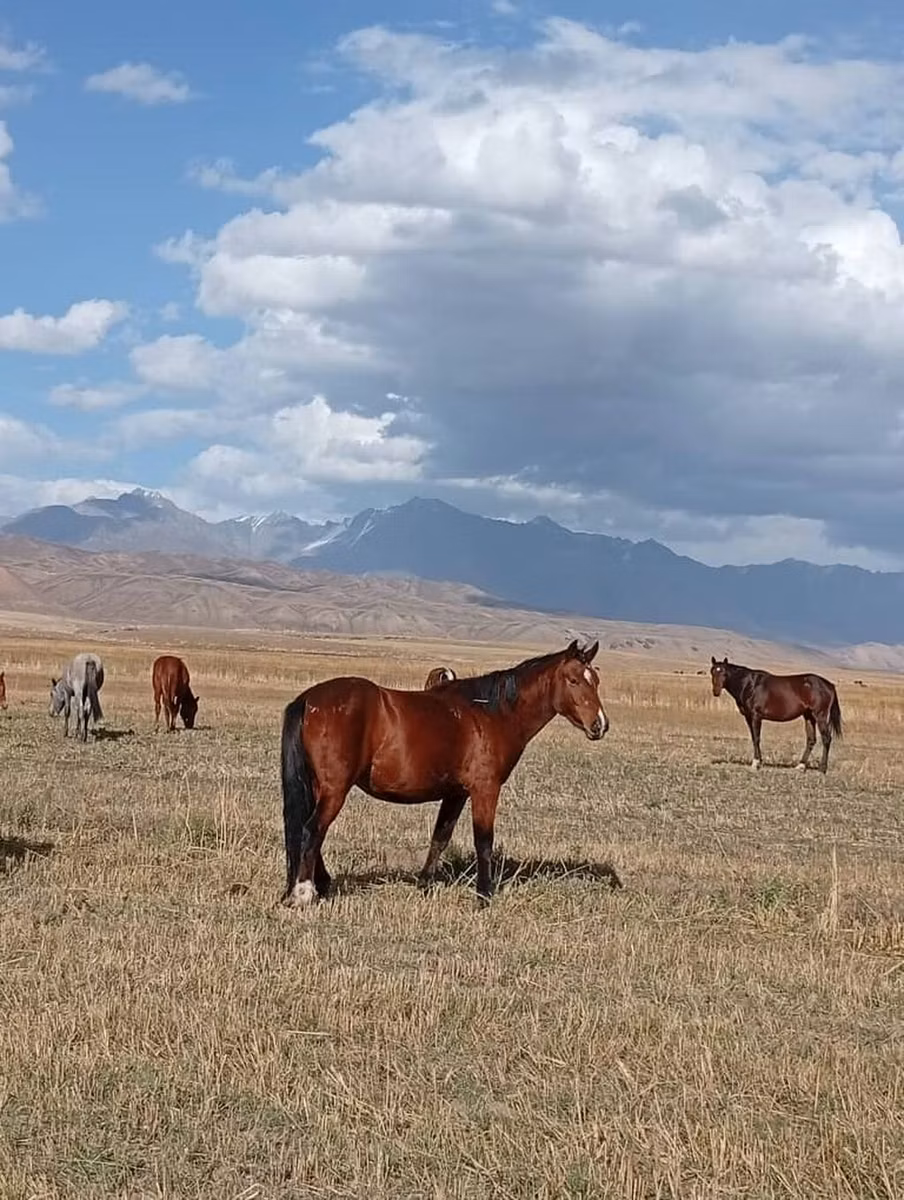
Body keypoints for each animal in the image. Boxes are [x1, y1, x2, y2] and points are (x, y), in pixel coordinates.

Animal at [281, 639, 609, 908]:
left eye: (596, 680)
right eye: (573, 679)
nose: (600, 725)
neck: (492, 714)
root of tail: (309, 699)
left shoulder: (456, 793)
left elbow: (441, 836)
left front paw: (424, 885)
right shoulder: (485, 789)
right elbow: (484, 842)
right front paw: (484, 896)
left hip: (319, 787)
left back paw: (320, 885)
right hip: (335, 789)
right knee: (312, 830)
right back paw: (303, 893)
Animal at [710, 655, 842, 773]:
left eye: (724, 673)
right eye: (712, 672)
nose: (716, 691)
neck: (749, 685)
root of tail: (830, 685)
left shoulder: (756, 716)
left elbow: (757, 738)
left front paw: (756, 763)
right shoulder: (748, 717)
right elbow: (754, 738)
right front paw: (759, 761)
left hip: (820, 715)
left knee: (826, 738)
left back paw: (822, 768)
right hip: (809, 716)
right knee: (811, 740)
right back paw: (800, 766)